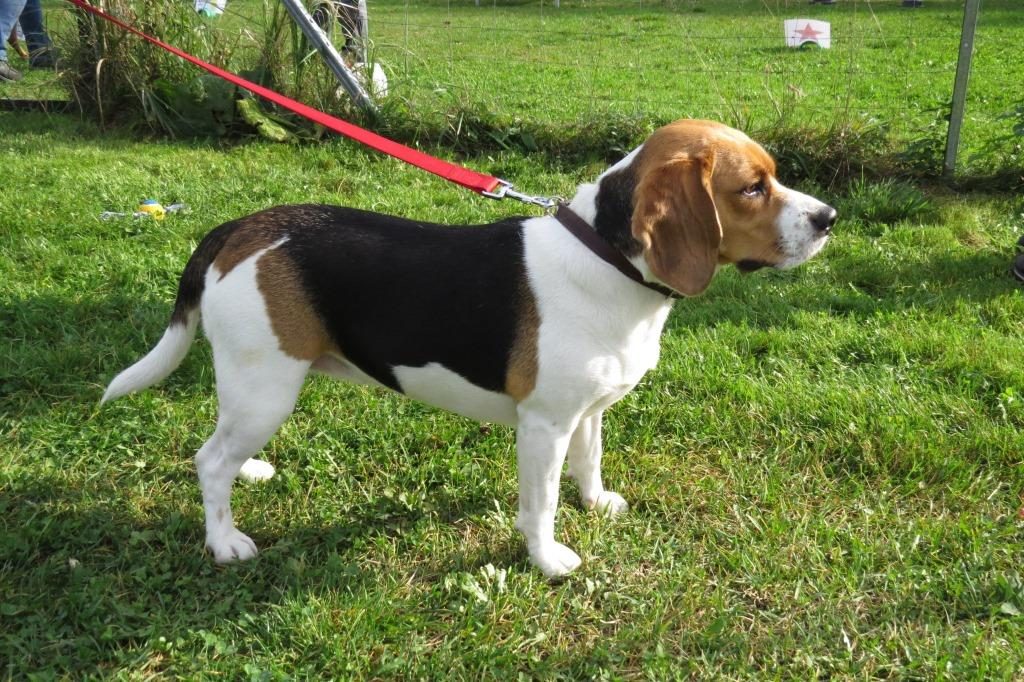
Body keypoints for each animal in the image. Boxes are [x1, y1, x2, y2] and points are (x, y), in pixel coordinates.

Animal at [102, 119, 835, 578]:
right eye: (752, 187)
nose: (829, 219)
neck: (607, 259)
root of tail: (242, 228)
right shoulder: (543, 427)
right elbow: (541, 505)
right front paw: (548, 561)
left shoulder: (587, 413)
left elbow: (589, 463)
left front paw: (597, 504)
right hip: (266, 387)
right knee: (208, 461)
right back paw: (225, 540)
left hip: (259, 387)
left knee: (223, 449)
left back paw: (250, 471)